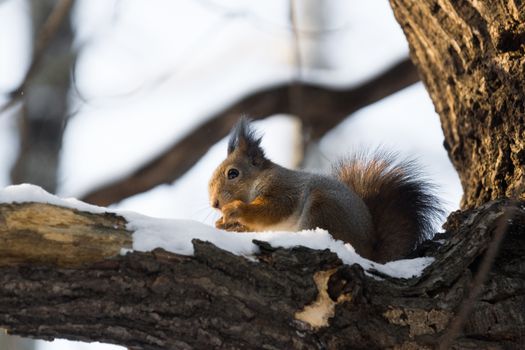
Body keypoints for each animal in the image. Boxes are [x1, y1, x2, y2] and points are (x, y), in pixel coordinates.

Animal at [209, 117, 442, 262]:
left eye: (233, 173)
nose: (215, 204)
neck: (258, 180)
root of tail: (368, 250)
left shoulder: (284, 189)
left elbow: (273, 210)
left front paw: (235, 210)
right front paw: (224, 224)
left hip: (323, 207)